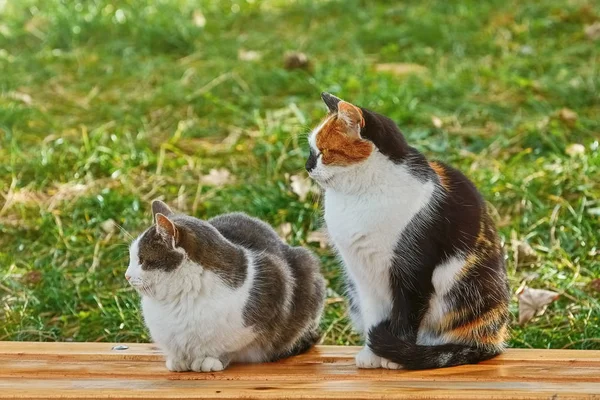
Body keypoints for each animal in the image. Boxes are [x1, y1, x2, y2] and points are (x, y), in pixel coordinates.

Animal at [123, 202, 326, 374]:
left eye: (142, 260)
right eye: (132, 258)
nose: (127, 275)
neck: (179, 299)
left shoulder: (274, 285)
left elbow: (226, 347)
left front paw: (210, 360)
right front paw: (179, 360)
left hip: (307, 266)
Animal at [308, 92, 508, 370]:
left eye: (324, 152)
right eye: (310, 150)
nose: (307, 166)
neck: (360, 196)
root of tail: (497, 338)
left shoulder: (413, 268)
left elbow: (406, 315)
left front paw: (394, 356)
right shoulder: (361, 273)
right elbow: (373, 314)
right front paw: (372, 354)